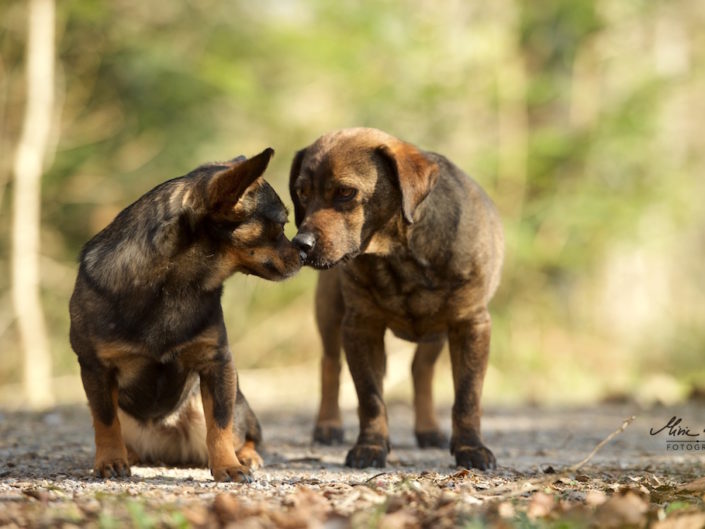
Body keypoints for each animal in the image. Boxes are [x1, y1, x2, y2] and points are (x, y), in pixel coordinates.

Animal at [70, 147, 302, 478]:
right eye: (281, 226)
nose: (305, 250)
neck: (174, 285)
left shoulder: (217, 364)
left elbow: (219, 423)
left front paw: (227, 465)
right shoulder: (95, 369)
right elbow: (105, 421)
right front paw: (110, 461)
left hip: (221, 405)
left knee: (243, 433)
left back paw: (245, 456)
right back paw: (129, 455)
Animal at [288, 129, 504, 470]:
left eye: (346, 192)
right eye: (301, 193)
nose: (299, 244)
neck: (398, 256)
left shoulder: (471, 324)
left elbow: (468, 396)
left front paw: (471, 447)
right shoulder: (360, 327)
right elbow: (370, 397)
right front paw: (371, 446)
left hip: (436, 333)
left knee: (421, 370)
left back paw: (428, 429)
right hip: (329, 313)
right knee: (330, 364)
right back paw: (328, 425)